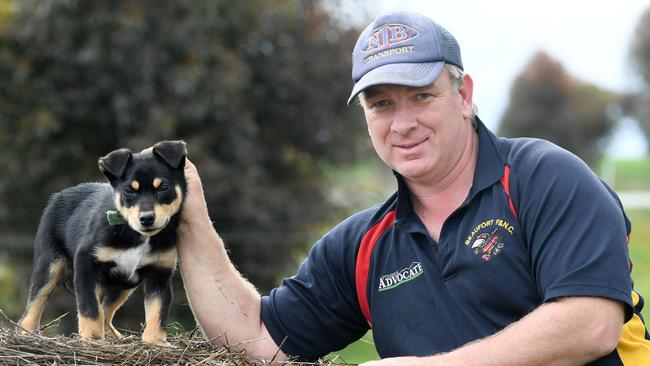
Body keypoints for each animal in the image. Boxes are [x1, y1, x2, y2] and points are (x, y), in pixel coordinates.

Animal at [18, 140, 185, 346]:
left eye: (163, 187)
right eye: (129, 190)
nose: (146, 219)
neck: (135, 234)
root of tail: (58, 195)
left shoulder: (160, 274)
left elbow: (158, 312)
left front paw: (155, 341)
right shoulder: (86, 263)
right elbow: (90, 309)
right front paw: (92, 338)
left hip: (123, 284)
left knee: (106, 309)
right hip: (50, 265)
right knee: (33, 306)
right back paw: (26, 334)